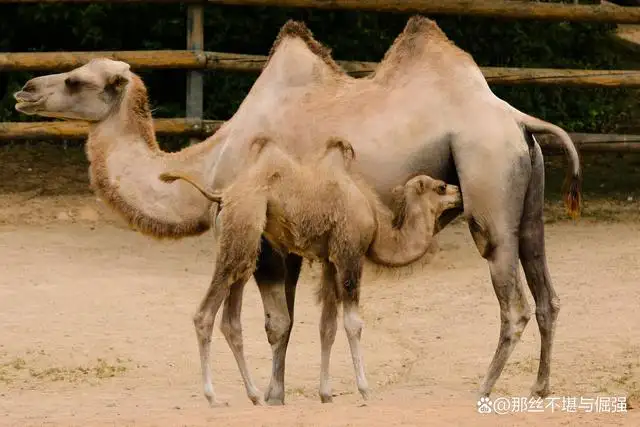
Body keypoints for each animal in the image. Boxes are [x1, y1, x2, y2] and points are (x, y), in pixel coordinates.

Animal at [159, 136, 460, 404]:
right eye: (441, 186)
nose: (459, 193)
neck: (376, 224)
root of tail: (223, 194)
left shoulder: (330, 261)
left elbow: (327, 325)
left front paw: (326, 394)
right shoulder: (349, 254)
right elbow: (353, 323)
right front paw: (365, 389)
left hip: (244, 246)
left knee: (231, 319)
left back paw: (255, 395)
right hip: (242, 231)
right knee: (204, 315)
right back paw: (213, 396)